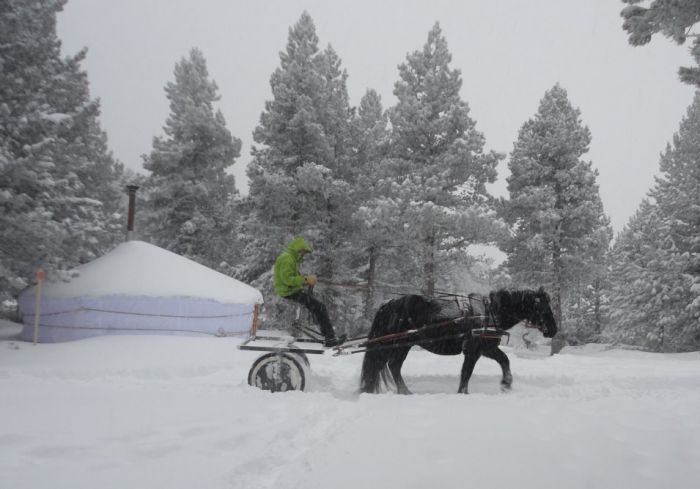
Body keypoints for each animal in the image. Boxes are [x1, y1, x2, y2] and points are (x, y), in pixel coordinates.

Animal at [360, 288, 556, 394]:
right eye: (543, 307)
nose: (554, 329)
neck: (490, 312)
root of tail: (389, 304)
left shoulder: (487, 348)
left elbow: (504, 360)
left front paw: (506, 384)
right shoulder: (474, 350)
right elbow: (466, 372)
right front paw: (463, 392)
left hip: (398, 344)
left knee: (391, 365)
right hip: (400, 344)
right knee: (392, 365)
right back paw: (404, 391)